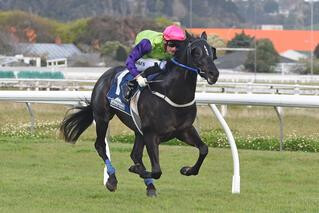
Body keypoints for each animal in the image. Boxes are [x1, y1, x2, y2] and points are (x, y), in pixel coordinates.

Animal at [60, 31, 220, 196]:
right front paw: (135, 170)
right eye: (196, 52)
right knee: (100, 146)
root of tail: (105, 74)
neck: (172, 94)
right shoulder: (151, 134)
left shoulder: (184, 130)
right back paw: (112, 180)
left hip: (138, 130)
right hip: (102, 117)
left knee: (135, 154)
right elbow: (156, 171)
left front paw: (187, 170)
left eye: (212, 51)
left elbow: (204, 149)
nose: (214, 74)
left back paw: (149, 186)